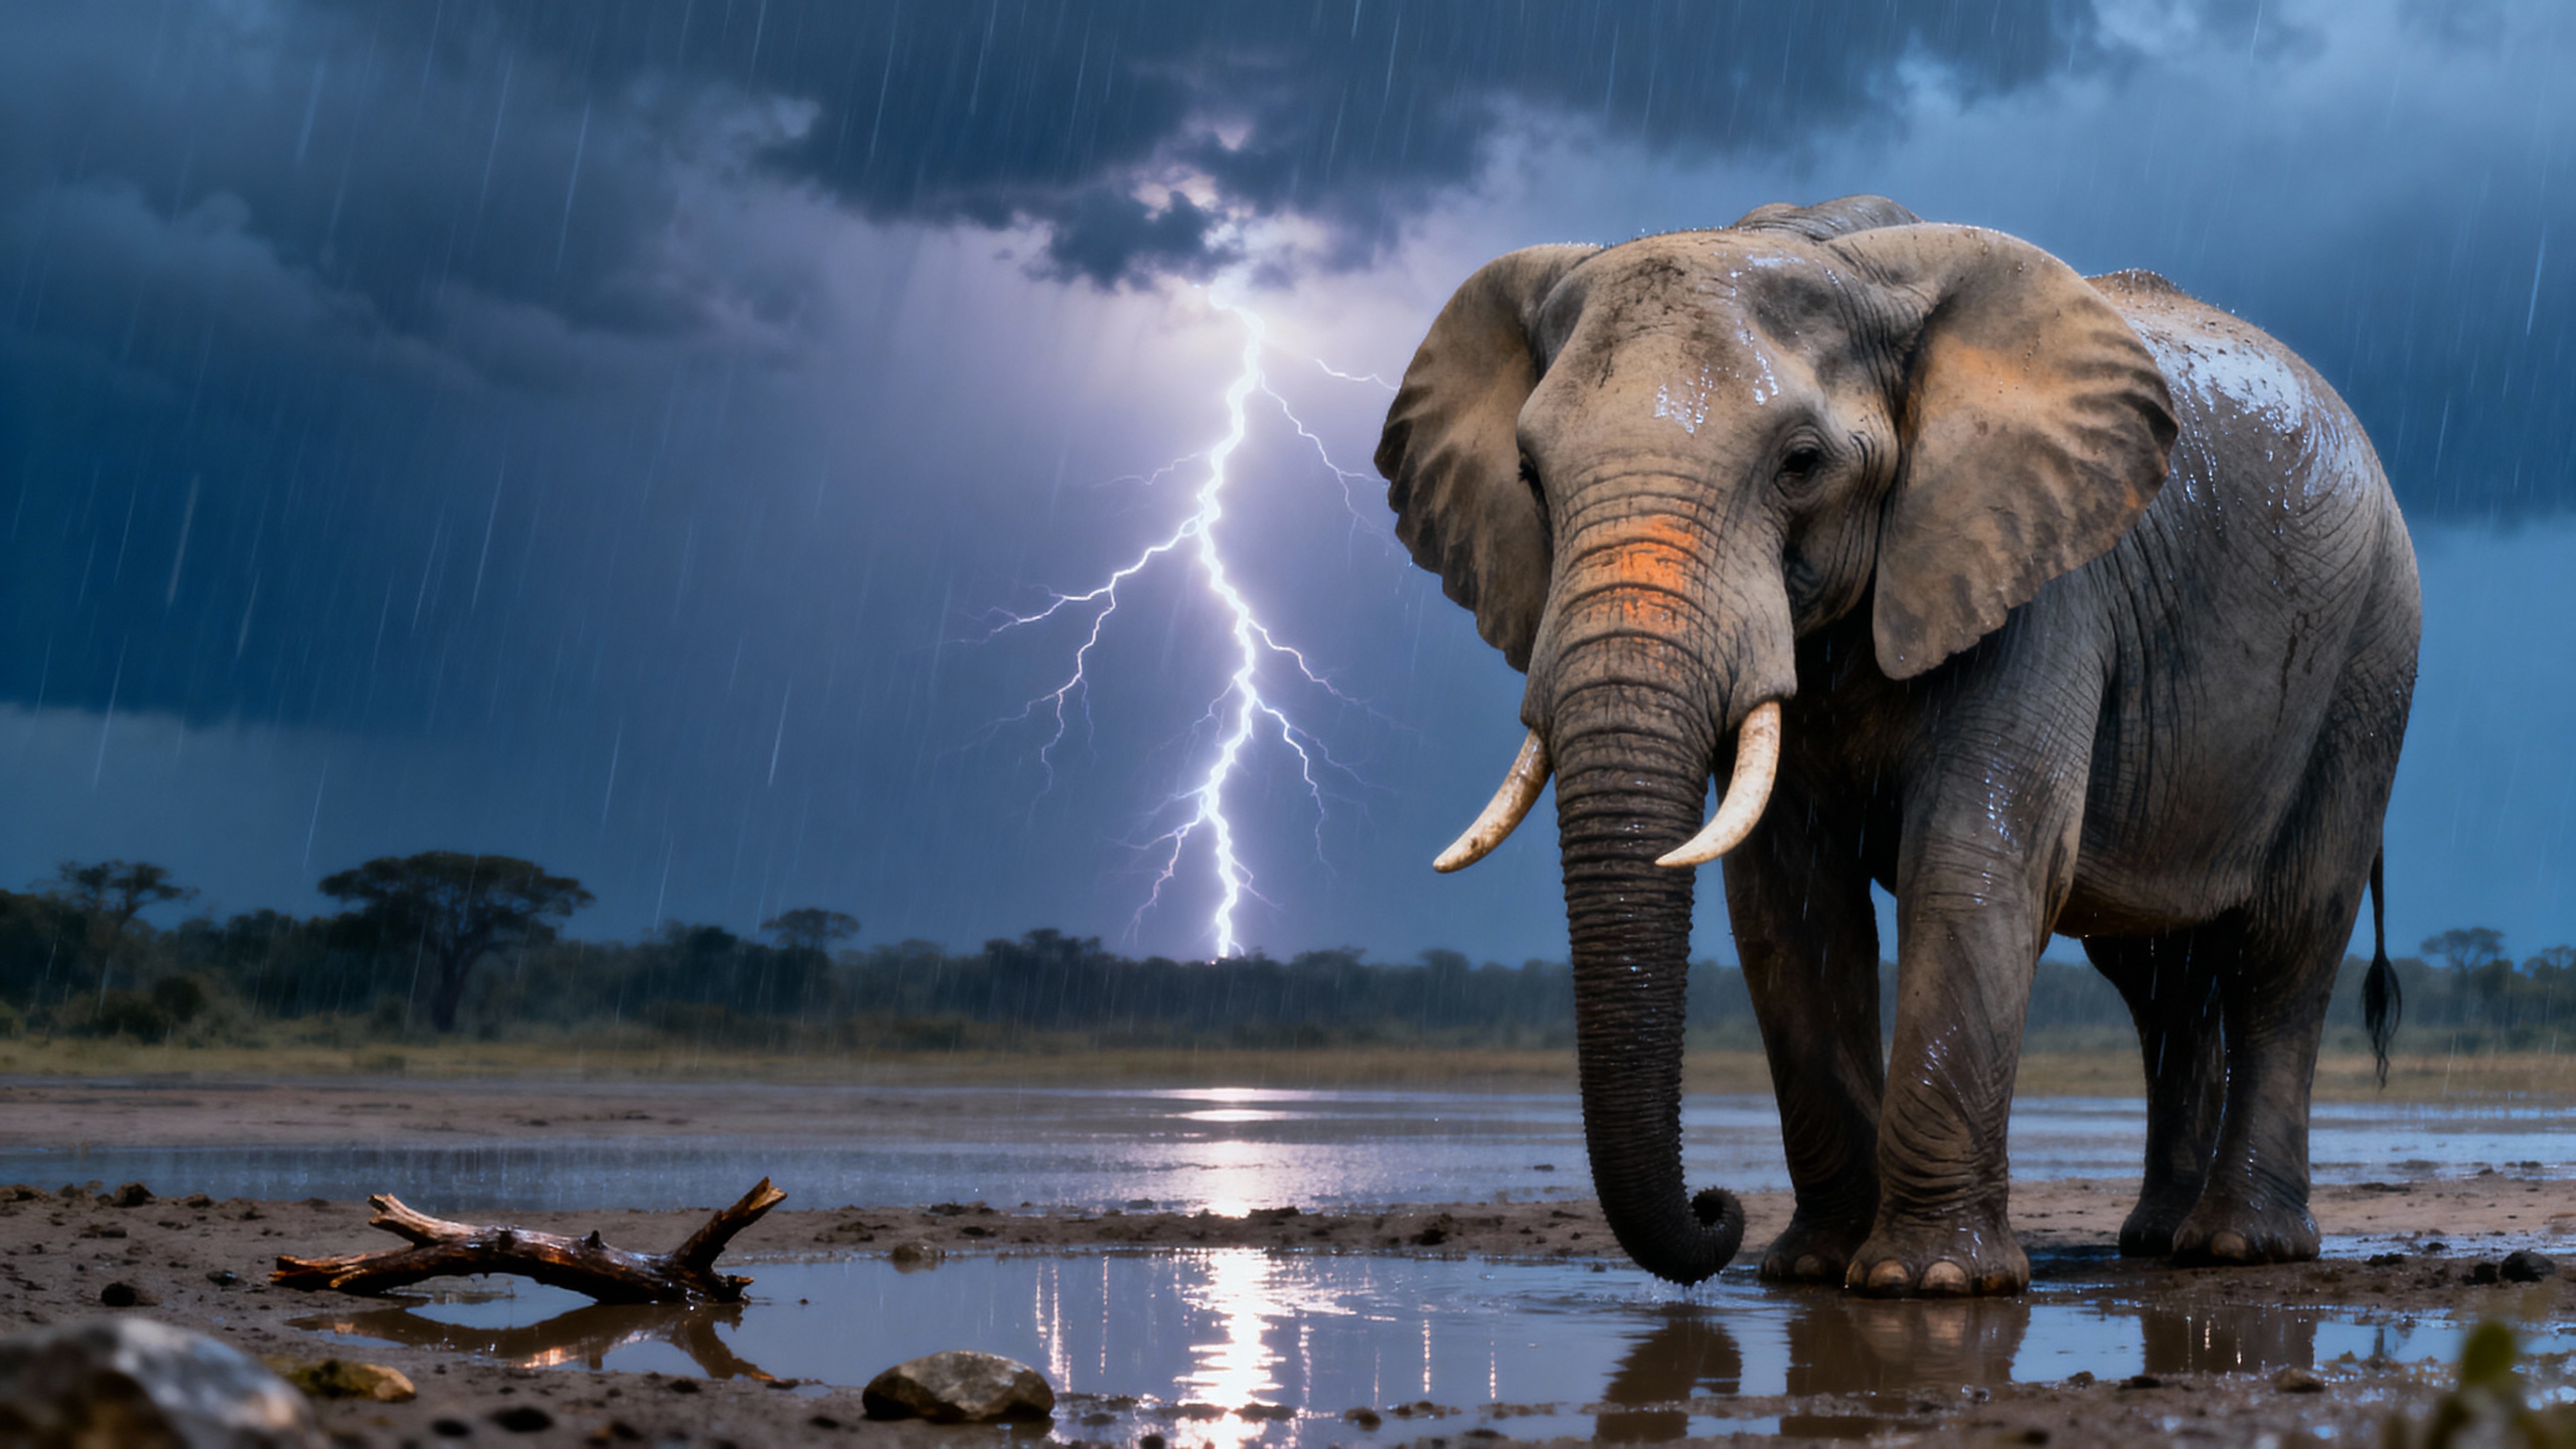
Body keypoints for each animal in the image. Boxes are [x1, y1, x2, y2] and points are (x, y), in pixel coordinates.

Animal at [1374, 196, 2419, 1295]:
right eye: (1529, 477)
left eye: (1800, 464)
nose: (1716, 1210)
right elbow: (1788, 904)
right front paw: (1812, 1269)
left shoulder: (2039, 582)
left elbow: (1972, 864)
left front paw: (1930, 1284)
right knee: (2156, 978)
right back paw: (2153, 1240)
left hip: (2368, 660)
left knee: (2286, 944)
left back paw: (2237, 1247)